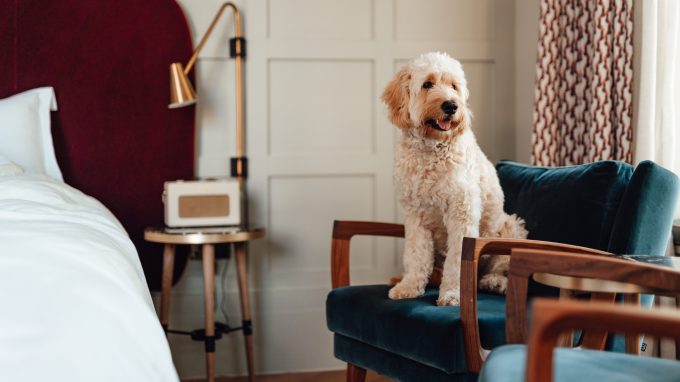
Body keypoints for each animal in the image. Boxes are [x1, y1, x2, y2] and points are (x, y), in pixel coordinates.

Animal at [382, 51, 524, 308]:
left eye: (454, 86)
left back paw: (493, 282)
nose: (451, 105)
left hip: (510, 227)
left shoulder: (462, 212)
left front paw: (452, 294)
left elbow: (457, 260)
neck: (432, 148)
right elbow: (416, 255)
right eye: (427, 84)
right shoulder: (415, 216)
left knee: (499, 268)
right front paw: (409, 286)